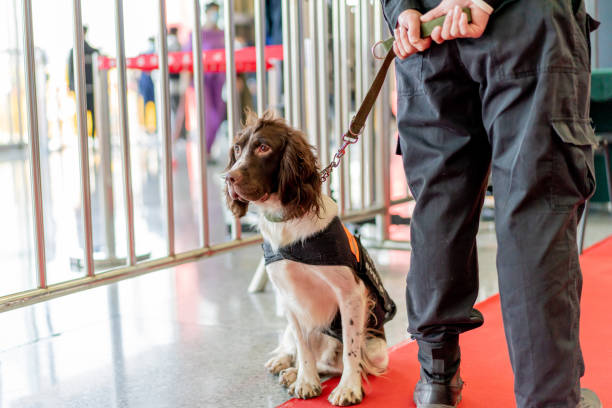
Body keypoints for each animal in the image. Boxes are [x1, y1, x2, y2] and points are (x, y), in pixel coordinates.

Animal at [225, 110, 396, 406]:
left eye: (263, 147)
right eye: (237, 148)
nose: (228, 177)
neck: (288, 223)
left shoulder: (350, 294)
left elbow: (351, 351)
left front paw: (349, 388)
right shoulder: (288, 296)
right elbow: (303, 348)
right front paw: (306, 380)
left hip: (376, 351)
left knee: (339, 360)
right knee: (294, 345)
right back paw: (286, 364)